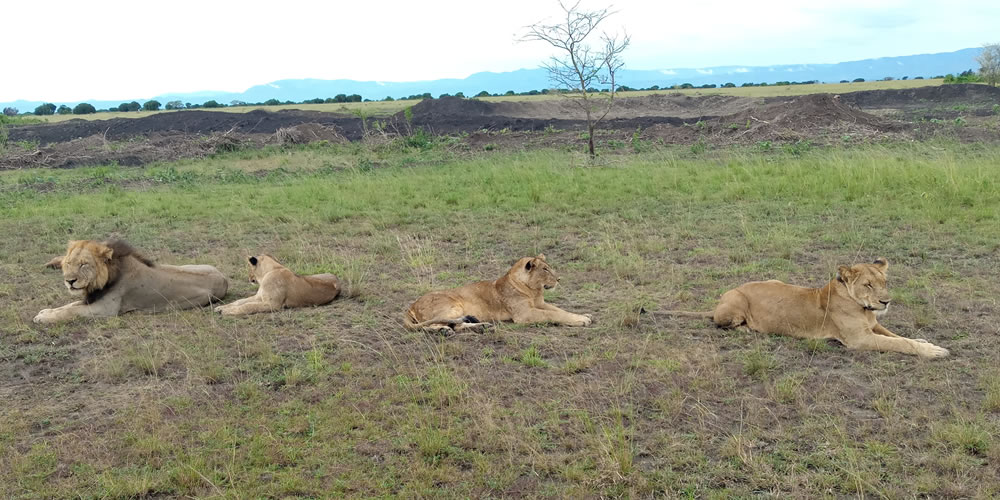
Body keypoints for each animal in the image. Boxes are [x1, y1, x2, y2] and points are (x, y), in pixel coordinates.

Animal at [34, 239, 229, 324]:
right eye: (68, 263)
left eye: (84, 264)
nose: (70, 281)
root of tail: (224, 277)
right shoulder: (91, 299)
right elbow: (69, 306)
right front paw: (46, 311)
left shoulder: (105, 309)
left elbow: (71, 311)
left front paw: (42, 317)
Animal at [404, 254, 592, 332]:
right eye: (545, 269)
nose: (559, 279)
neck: (533, 291)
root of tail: (410, 306)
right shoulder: (524, 314)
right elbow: (553, 315)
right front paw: (582, 320)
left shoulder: (540, 304)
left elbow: (560, 310)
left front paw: (585, 314)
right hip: (453, 306)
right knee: (435, 324)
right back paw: (443, 330)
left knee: (456, 324)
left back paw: (482, 327)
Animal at [660, 258, 949, 359]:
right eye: (868, 284)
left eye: (884, 283)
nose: (885, 302)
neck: (864, 309)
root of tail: (717, 303)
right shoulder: (859, 339)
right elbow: (899, 343)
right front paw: (933, 351)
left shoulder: (874, 326)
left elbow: (900, 337)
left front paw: (924, 341)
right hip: (736, 302)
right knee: (722, 323)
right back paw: (746, 330)